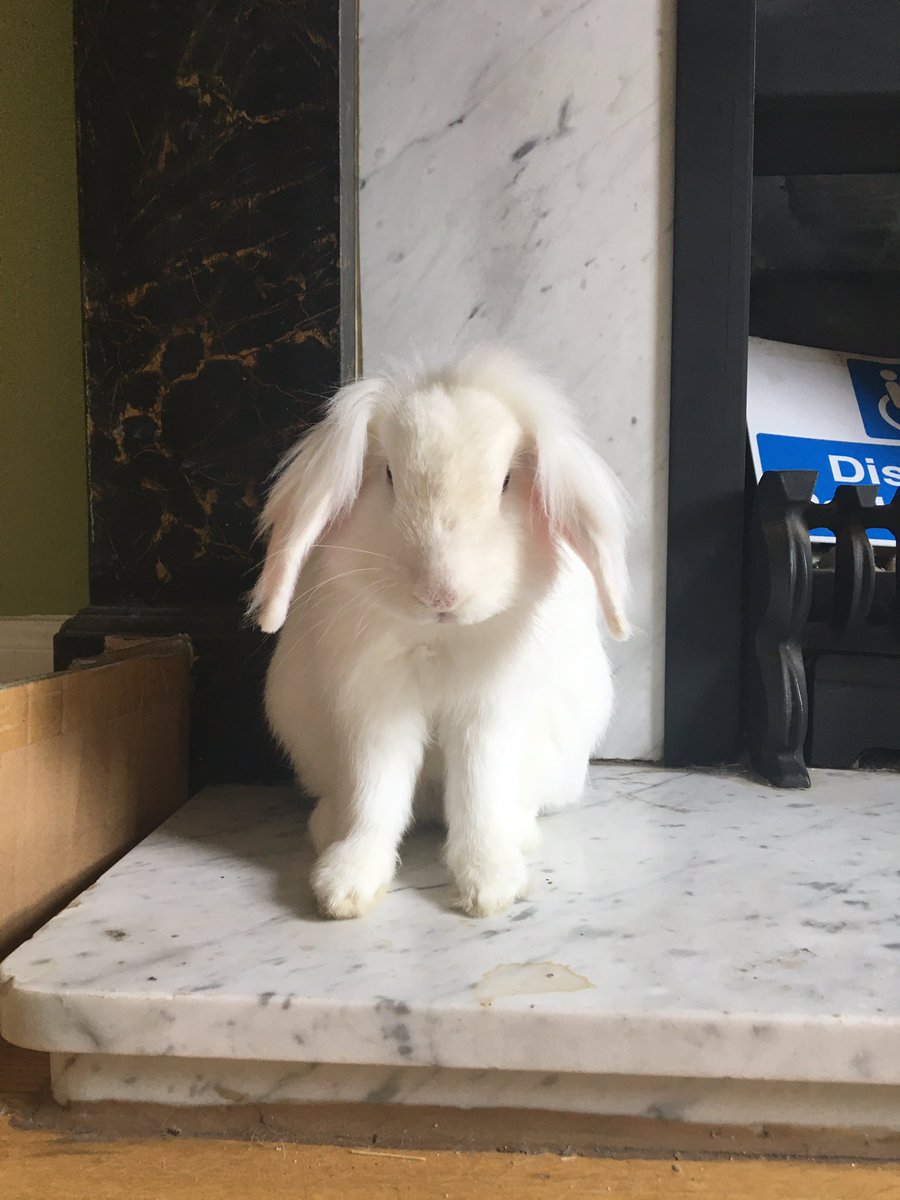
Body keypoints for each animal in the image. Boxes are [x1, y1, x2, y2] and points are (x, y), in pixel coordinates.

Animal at [249, 346, 630, 919]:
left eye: (505, 482)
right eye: (388, 474)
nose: (440, 594)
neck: (439, 637)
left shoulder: (488, 714)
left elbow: (479, 790)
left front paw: (489, 887)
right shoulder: (376, 711)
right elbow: (376, 794)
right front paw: (344, 888)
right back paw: (327, 828)